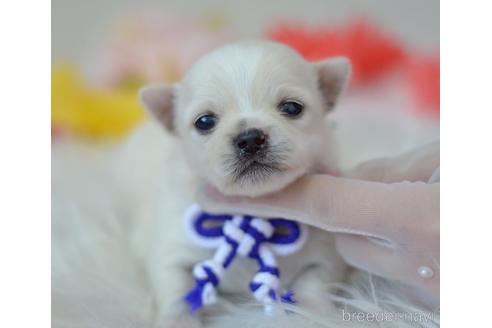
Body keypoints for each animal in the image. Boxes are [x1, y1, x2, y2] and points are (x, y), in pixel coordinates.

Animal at [135, 40, 350, 326]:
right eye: (204, 122)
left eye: (292, 108)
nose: (249, 139)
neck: (253, 211)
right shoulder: (172, 250)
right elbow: (176, 293)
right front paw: (177, 321)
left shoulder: (326, 250)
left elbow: (314, 283)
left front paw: (317, 315)